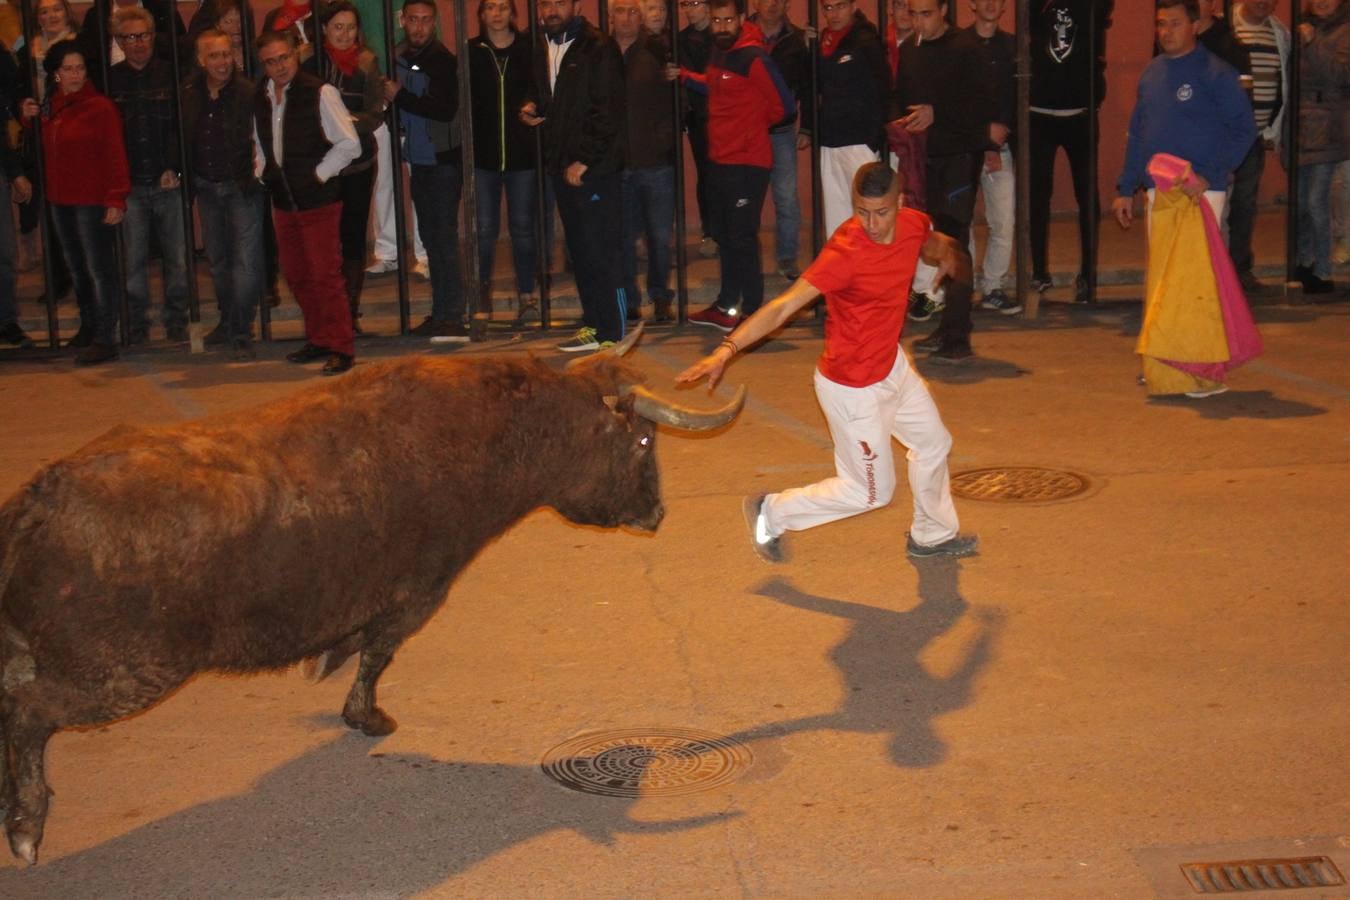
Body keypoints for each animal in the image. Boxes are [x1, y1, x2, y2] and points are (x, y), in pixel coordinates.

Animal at [0, 334, 739, 868]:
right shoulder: (417, 593)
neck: (490, 432)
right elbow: (377, 653)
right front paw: (367, 715)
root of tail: (44, 496)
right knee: (28, 713)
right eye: (641, 439)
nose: (657, 513)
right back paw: (26, 828)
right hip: (123, 673)